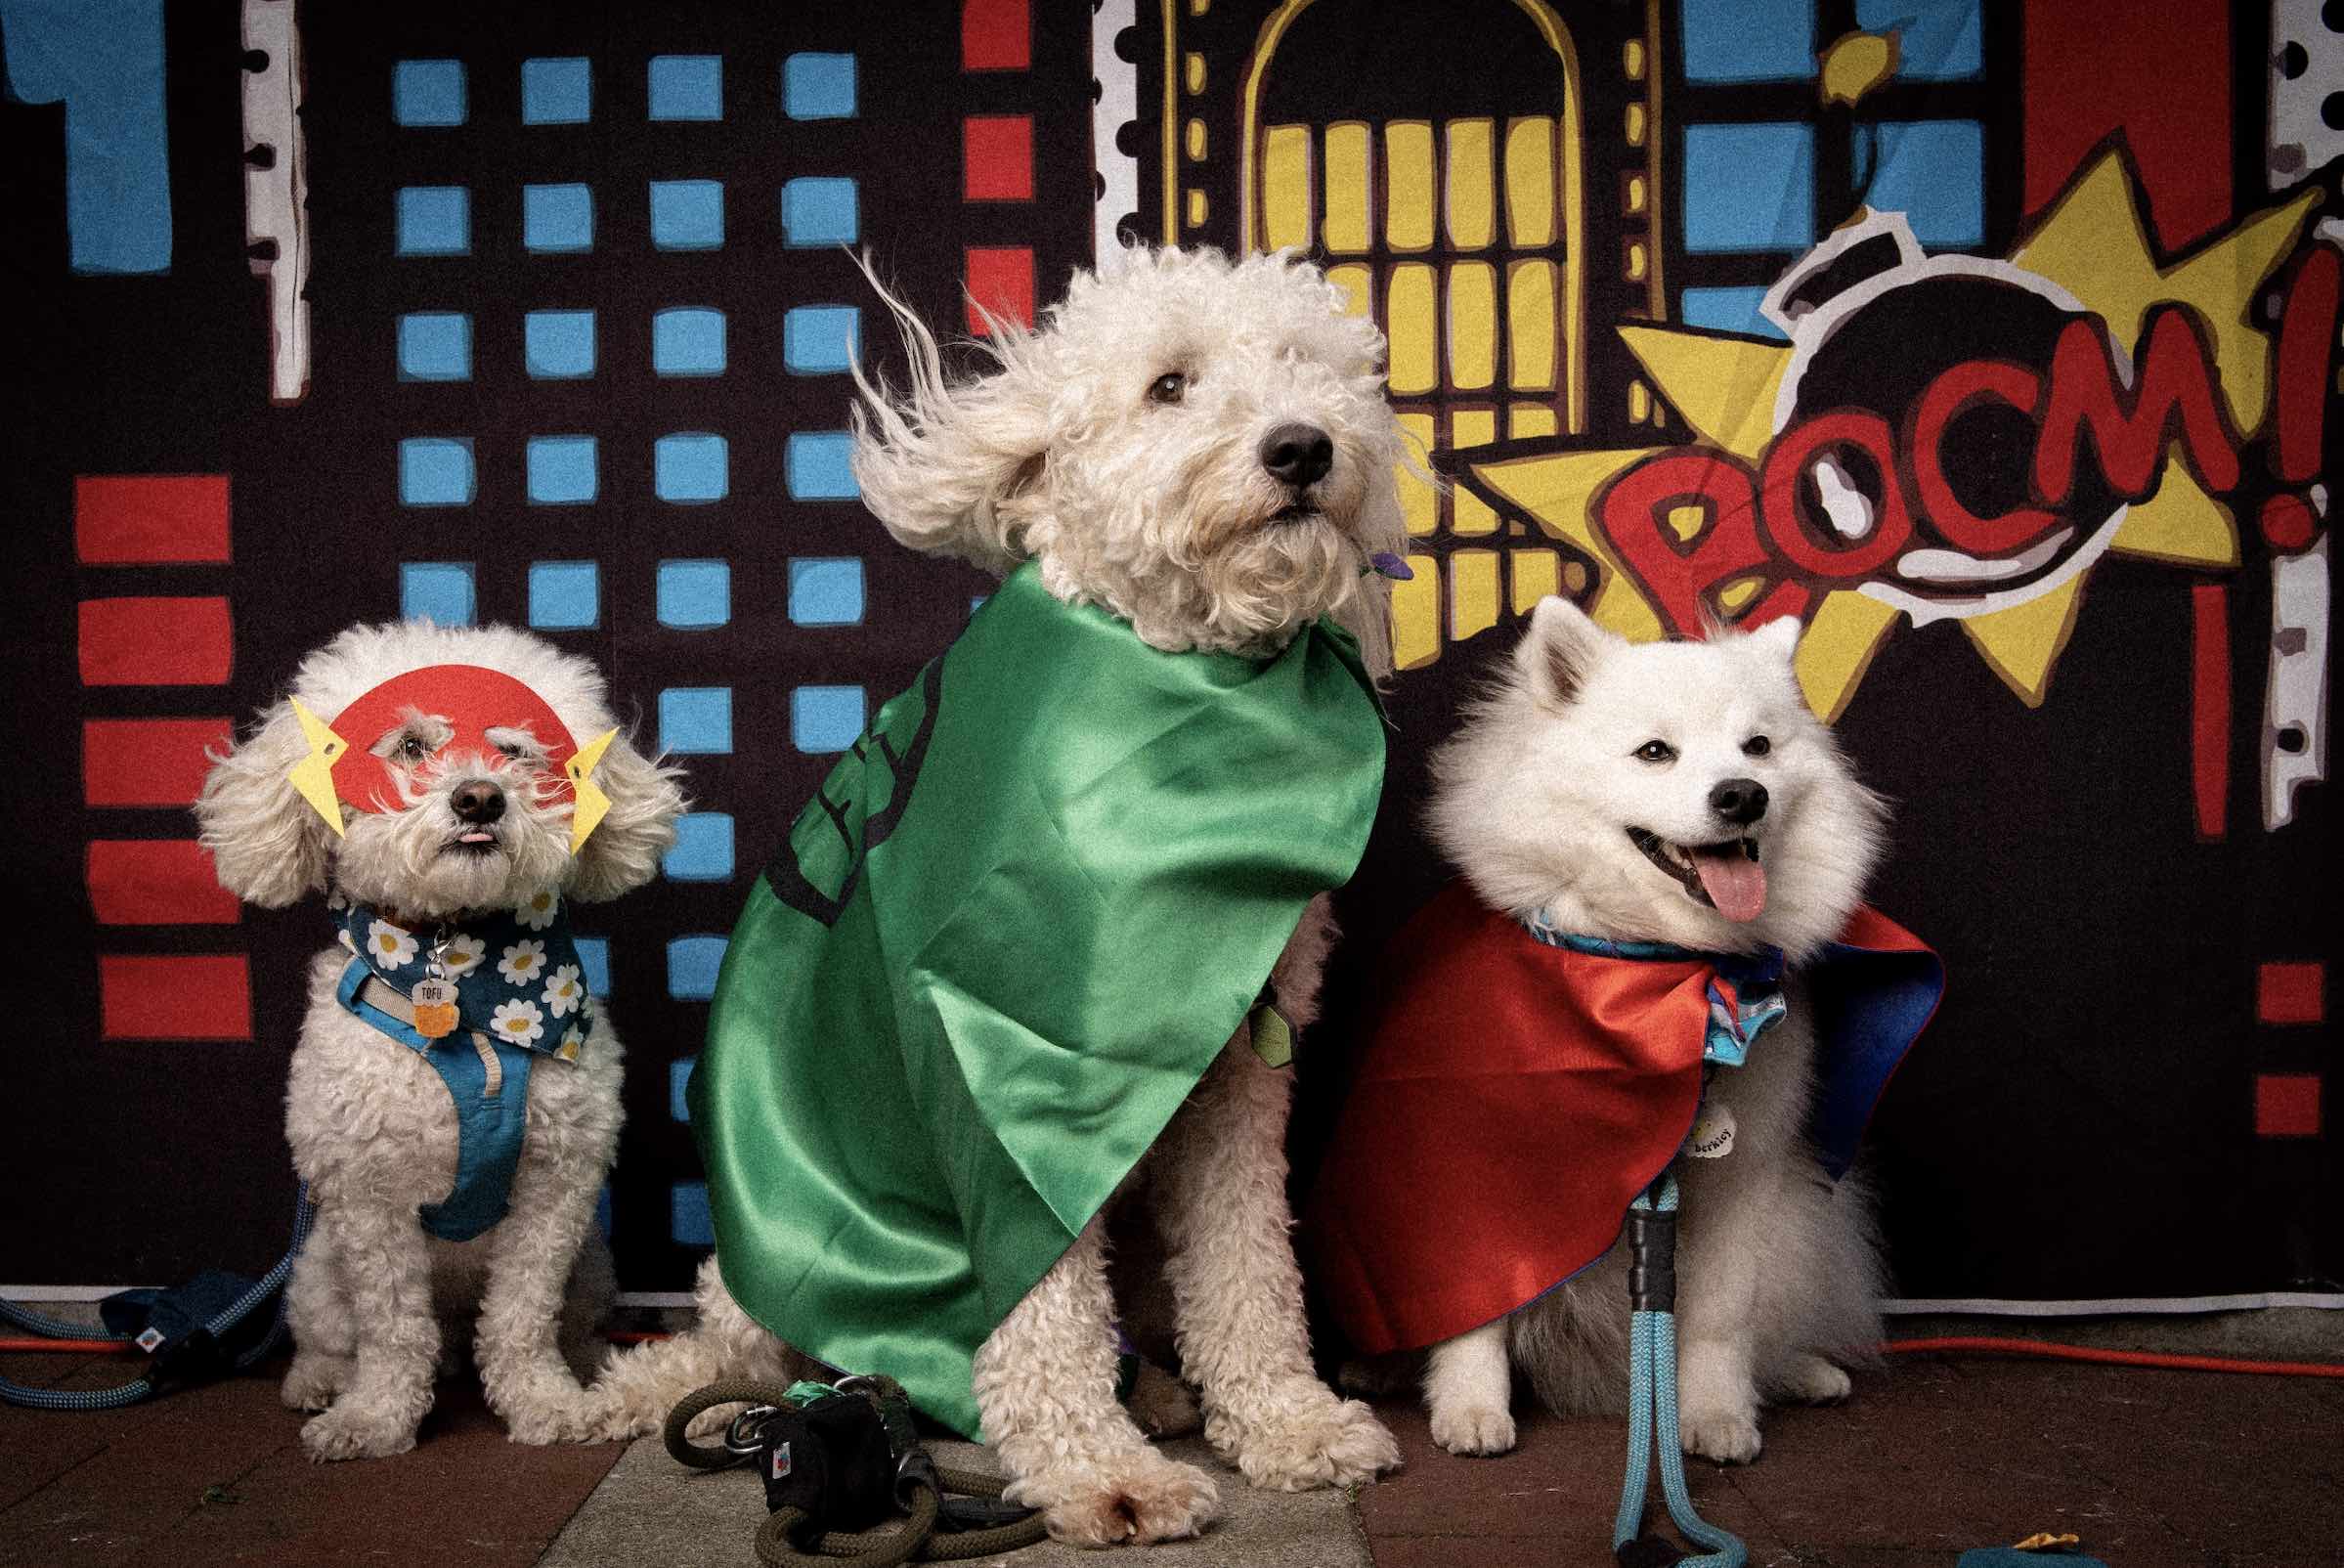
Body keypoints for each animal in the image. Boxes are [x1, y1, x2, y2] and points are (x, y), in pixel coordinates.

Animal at [197, 618, 684, 1453]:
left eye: (514, 750)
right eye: (409, 747)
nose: (479, 797)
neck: (462, 980)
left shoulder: (555, 1192)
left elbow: (521, 1320)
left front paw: (546, 1404)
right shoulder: (367, 1202)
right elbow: (393, 1329)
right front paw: (374, 1418)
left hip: (592, 1265)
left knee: (560, 1323)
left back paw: (589, 1365)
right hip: (318, 1270)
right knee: (334, 1337)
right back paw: (319, 1383)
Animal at [590, 250, 1406, 1546]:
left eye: (1310, 366)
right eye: (1169, 383)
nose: (1302, 446)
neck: (1177, 676)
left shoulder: (1236, 1071)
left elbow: (1248, 1266)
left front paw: (1284, 1417)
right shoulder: (1009, 1062)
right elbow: (1040, 1297)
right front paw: (1095, 1469)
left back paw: (1159, 1384)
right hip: (782, 1279)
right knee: (774, 1353)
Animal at [1350, 604, 1893, 1471]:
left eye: (1759, 746)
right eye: (1655, 752)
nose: (1743, 795)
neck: (1655, 976)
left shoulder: (1742, 1179)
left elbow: (1718, 1318)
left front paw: (1713, 1415)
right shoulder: (1469, 1170)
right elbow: (1475, 1315)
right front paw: (1470, 1409)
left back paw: (1801, 1371)